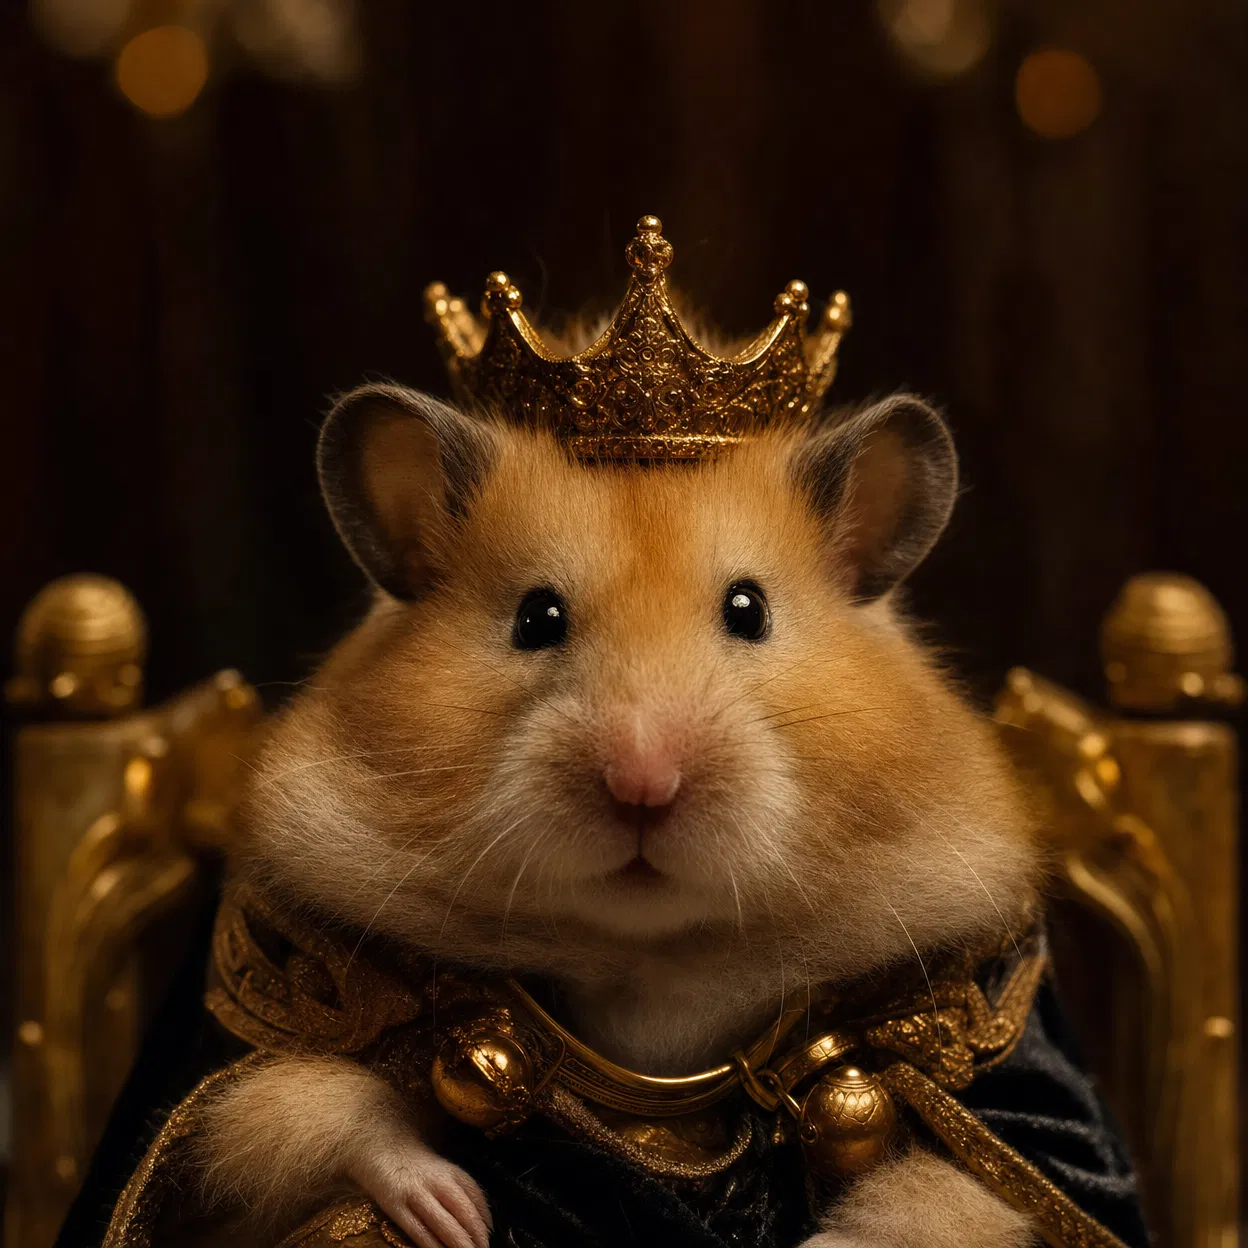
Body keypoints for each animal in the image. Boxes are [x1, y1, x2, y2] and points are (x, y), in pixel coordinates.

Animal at [195, 383, 1041, 1248]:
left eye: (749, 610)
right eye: (537, 618)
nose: (643, 783)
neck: (652, 963)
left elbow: (956, 1189)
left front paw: (824, 1240)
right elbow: (298, 1107)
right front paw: (454, 1213)